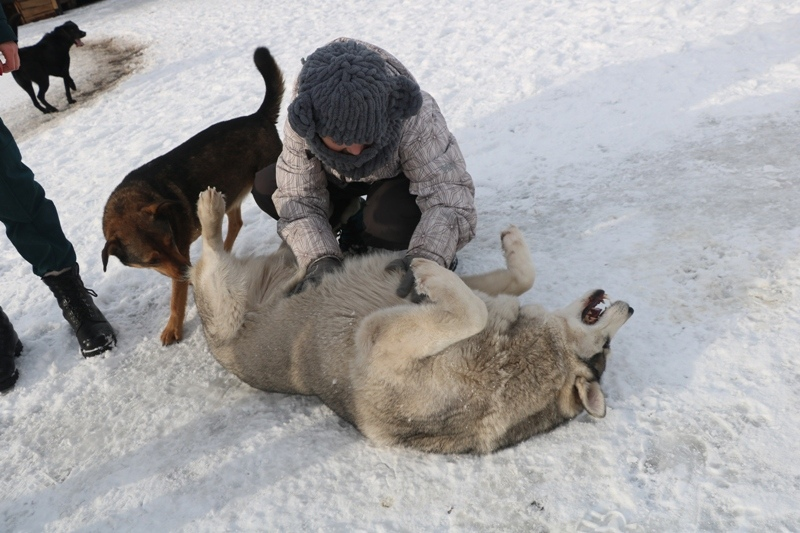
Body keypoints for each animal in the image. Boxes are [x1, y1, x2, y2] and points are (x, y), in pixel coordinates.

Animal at [191, 187, 636, 454]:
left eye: (607, 347)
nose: (631, 309)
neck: (516, 356)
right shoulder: (474, 293)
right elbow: (519, 279)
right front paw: (508, 244)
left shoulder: (378, 337)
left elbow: (471, 309)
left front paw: (428, 269)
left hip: (223, 300)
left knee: (210, 253)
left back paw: (210, 211)